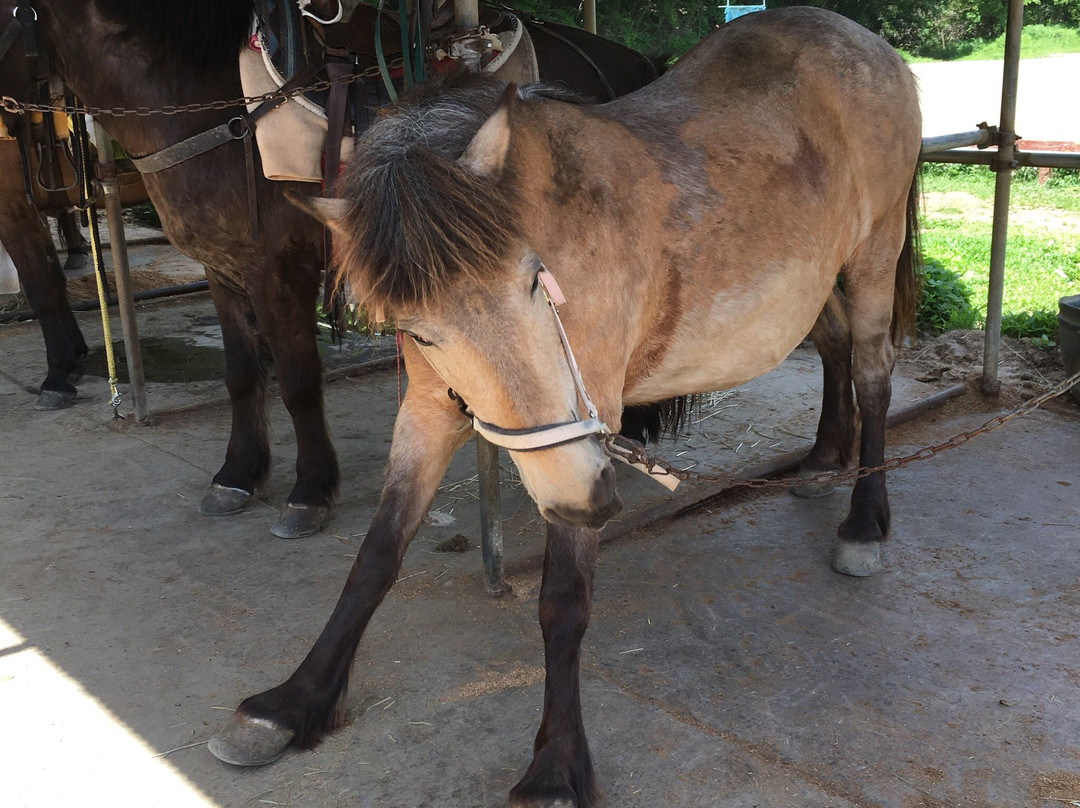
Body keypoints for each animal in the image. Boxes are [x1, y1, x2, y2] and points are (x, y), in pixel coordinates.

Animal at [0, 0, 660, 540]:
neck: (216, 110)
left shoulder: (274, 272)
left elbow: (296, 382)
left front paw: (310, 490)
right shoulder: (222, 270)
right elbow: (241, 375)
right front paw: (237, 474)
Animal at [208, 7, 920, 808]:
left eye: (532, 278)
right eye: (419, 330)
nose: (590, 500)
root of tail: (862, 39)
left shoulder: (586, 434)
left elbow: (562, 602)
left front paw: (554, 766)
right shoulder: (429, 411)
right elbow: (375, 557)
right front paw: (290, 705)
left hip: (872, 257)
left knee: (873, 374)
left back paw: (864, 522)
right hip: (811, 283)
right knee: (835, 351)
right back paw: (824, 460)